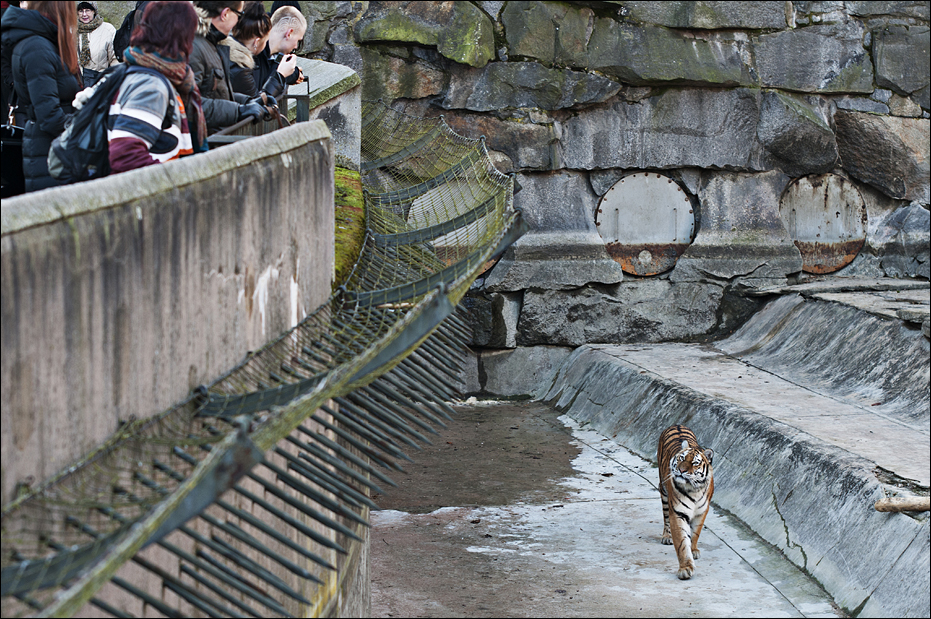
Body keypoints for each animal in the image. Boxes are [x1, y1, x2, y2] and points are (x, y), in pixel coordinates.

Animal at [657, 424, 714, 580]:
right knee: (666, 517)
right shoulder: (678, 513)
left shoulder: (702, 512)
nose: (681, 470)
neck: (694, 489)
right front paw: (685, 568)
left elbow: (695, 533)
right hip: (664, 492)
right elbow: (682, 542)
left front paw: (693, 550)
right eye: (681, 458)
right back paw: (667, 536)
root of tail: (677, 424)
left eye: (695, 463)